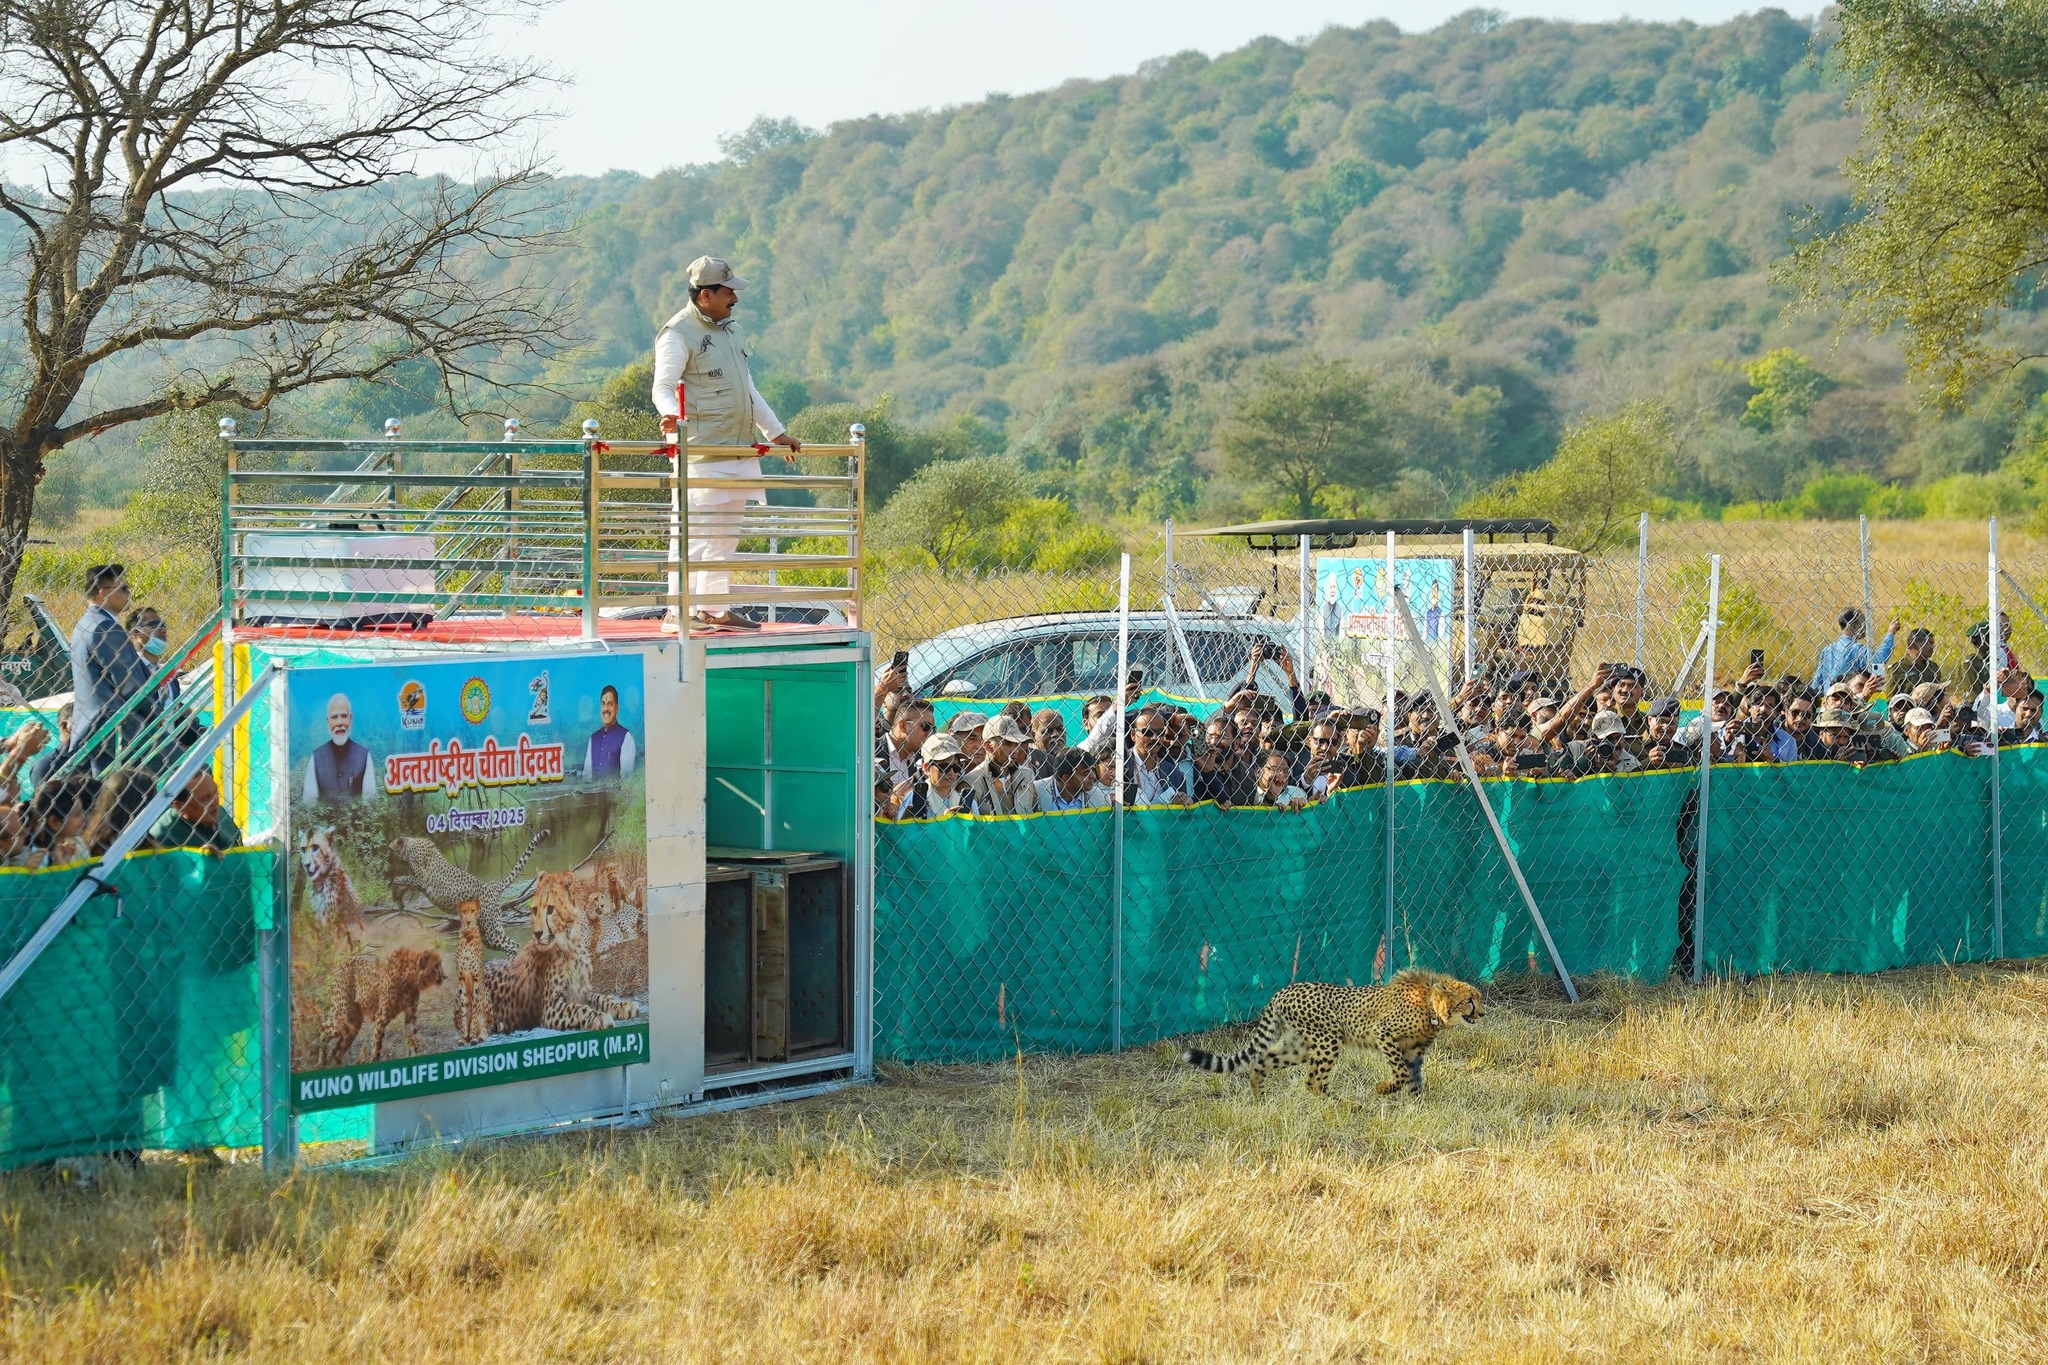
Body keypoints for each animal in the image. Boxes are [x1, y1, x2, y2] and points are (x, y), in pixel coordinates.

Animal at [387, 826, 549, 952]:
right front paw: (398, 899)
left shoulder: (420, 880)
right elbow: (403, 884)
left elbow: (400, 878)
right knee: (512, 944)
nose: (386, 858)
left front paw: (392, 885)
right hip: (487, 932)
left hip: (491, 930)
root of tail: (493, 887)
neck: (408, 848)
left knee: (513, 946)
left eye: (389, 849)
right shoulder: (417, 883)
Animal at [1183, 969, 1484, 1098]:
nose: (1482, 1013)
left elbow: (1414, 1081)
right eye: (1470, 1000)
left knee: (1262, 1062)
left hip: (1300, 1047)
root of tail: (1284, 990)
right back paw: (1346, 1105)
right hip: (1329, 1039)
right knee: (1313, 1082)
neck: (1430, 1006)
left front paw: (1416, 1108)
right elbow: (1400, 1073)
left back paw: (1260, 1099)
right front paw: (1384, 1089)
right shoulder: (1383, 1034)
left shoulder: (1414, 1053)